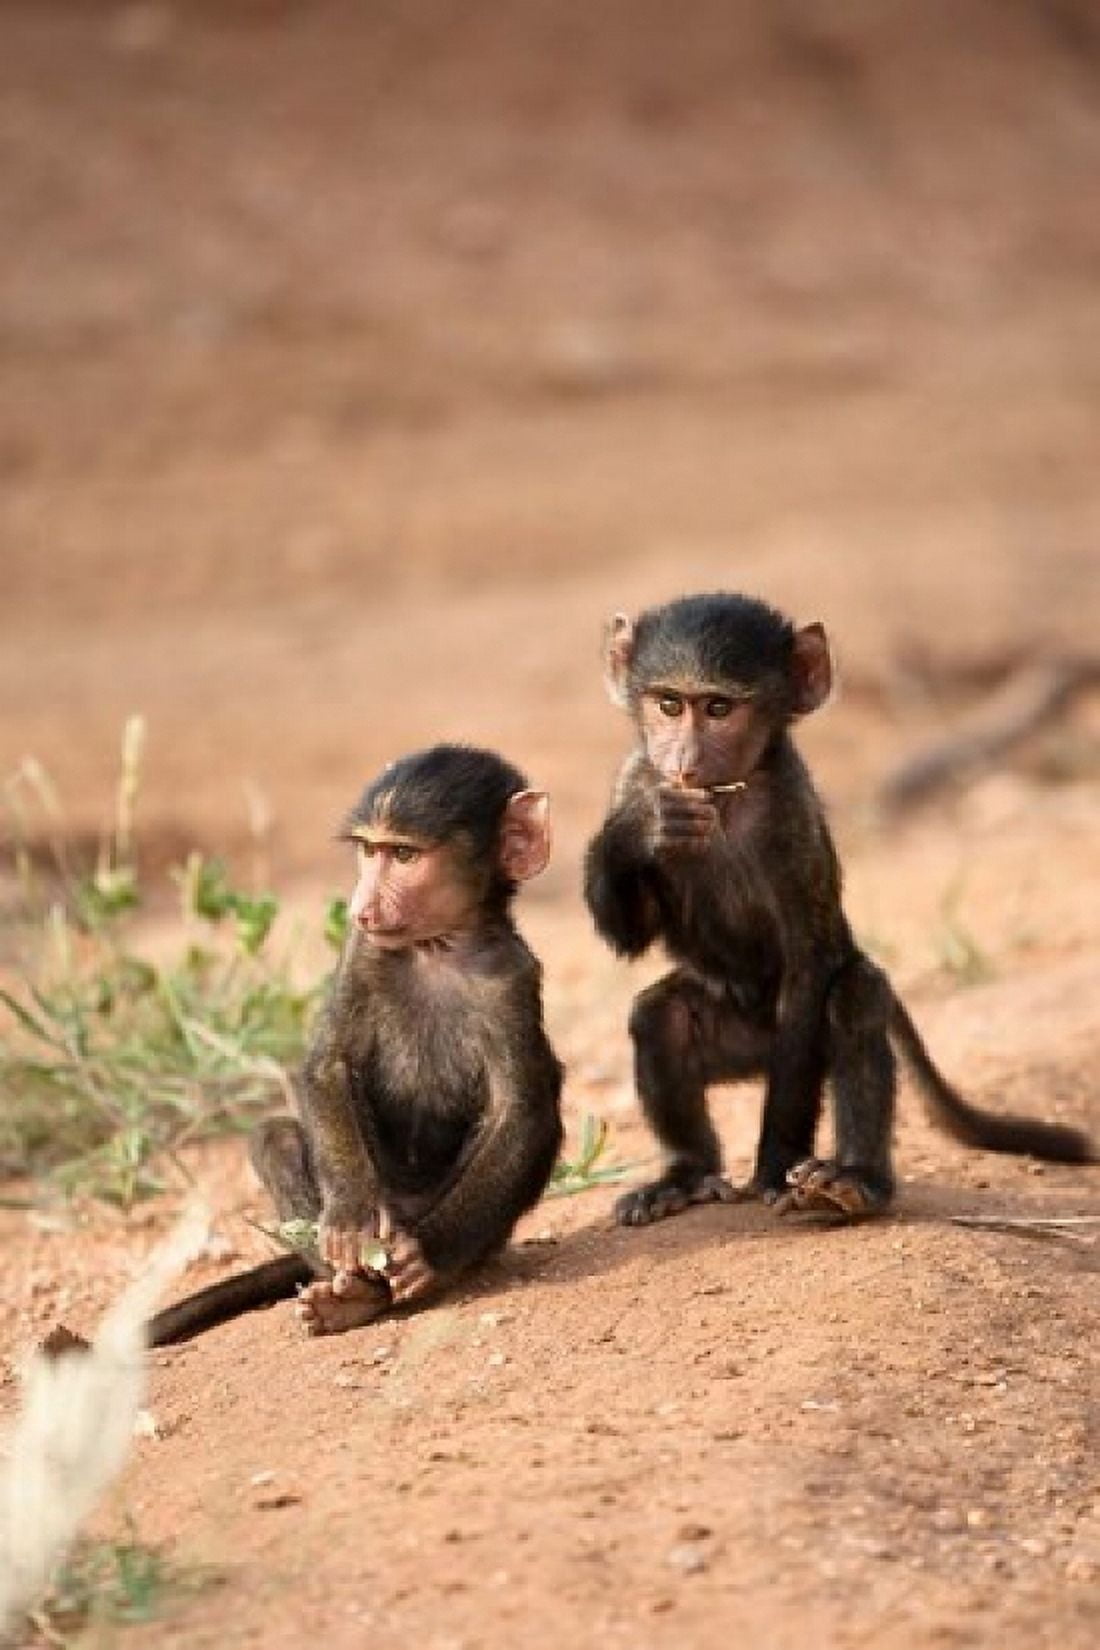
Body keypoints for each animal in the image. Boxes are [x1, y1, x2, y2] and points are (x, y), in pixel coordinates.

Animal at [148, 745, 564, 1344]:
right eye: (370, 850)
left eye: (405, 855)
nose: (360, 907)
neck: (437, 947)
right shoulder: (361, 952)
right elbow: (329, 1065)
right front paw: (347, 1216)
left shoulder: (511, 979)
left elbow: (521, 1112)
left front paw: (426, 1257)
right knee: (276, 1138)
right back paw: (351, 1294)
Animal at [583, 592, 1095, 1227]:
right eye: (669, 704)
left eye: (720, 708)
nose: (685, 761)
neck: (724, 801)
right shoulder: (635, 778)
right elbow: (629, 932)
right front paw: (647, 827)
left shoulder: (791, 812)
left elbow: (809, 962)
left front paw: (777, 1168)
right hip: (739, 1039)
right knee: (660, 1017)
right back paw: (687, 1177)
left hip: (785, 1043)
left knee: (853, 995)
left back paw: (855, 1182)